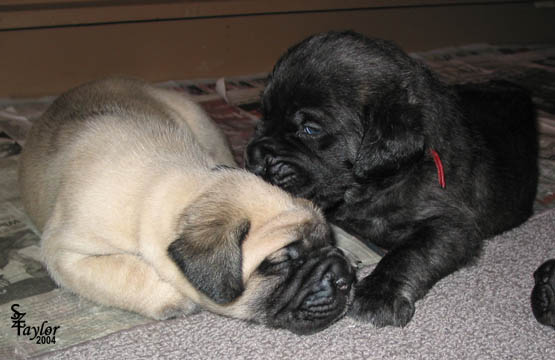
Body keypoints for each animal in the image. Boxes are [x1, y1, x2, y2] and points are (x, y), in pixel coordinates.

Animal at [247, 32, 540, 328]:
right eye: (264, 115)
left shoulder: (452, 224)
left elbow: (410, 252)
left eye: (310, 129)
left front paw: (378, 294)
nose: (253, 157)